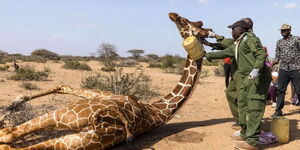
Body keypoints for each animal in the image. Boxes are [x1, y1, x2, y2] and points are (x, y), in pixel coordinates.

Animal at [0, 12, 211, 149]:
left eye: (184, 22)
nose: (172, 14)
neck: (156, 110)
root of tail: (110, 124)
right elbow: (62, 86)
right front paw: (14, 103)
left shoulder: (100, 96)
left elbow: (62, 86)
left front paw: (12, 105)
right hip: (74, 139)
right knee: (10, 138)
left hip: (67, 121)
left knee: (9, 137)